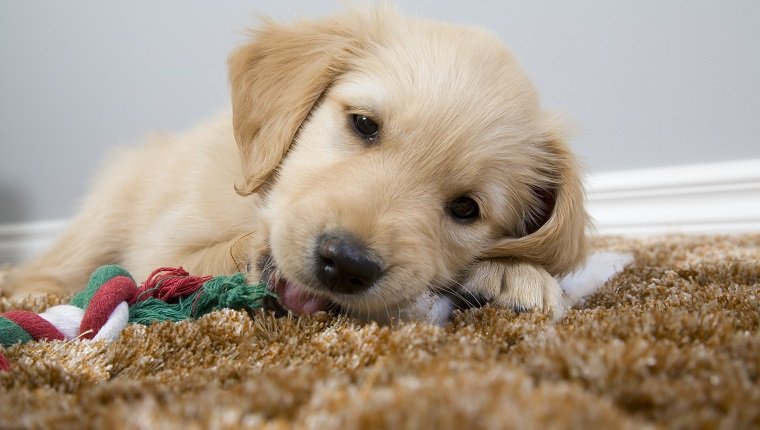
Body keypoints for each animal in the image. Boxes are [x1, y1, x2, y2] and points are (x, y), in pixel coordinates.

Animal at [1, 6, 588, 322]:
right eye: (363, 124)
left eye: (466, 209)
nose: (346, 263)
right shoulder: (161, 250)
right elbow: (203, 258)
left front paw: (513, 273)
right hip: (110, 208)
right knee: (52, 267)